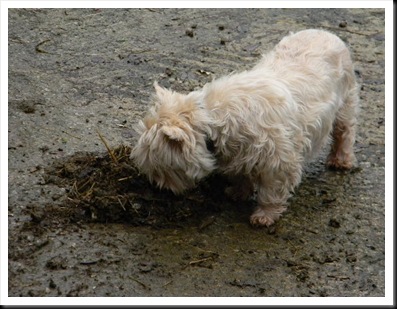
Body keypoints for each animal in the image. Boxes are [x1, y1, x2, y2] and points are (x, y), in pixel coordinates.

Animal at [131, 28, 358, 225]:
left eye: (161, 169)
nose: (159, 190)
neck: (213, 120)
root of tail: (325, 32)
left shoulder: (279, 161)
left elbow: (271, 191)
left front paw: (264, 215)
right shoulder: (237, 153)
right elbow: (241, 176)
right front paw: (238, 192)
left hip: (345, 103)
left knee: (344, 133)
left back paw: (340, 160)